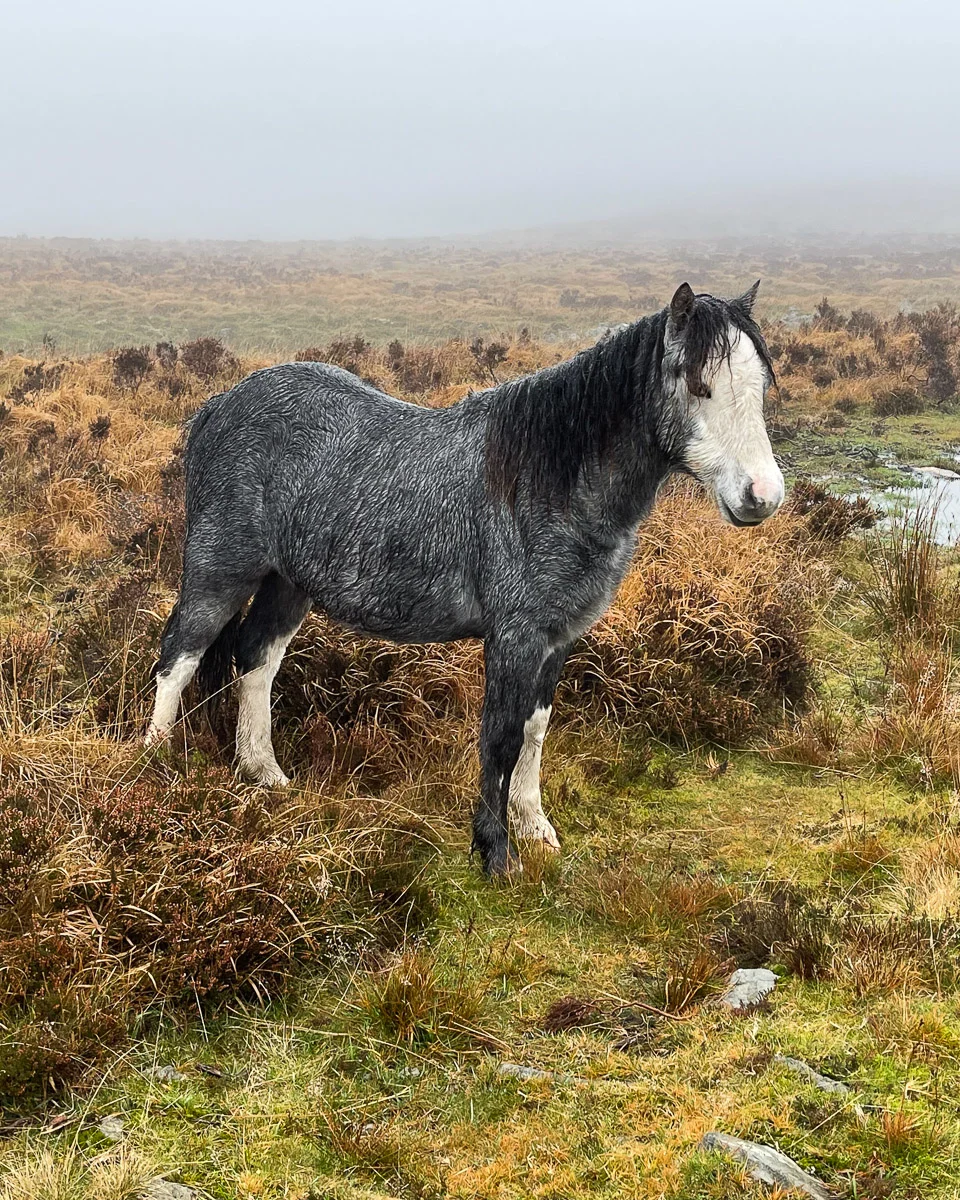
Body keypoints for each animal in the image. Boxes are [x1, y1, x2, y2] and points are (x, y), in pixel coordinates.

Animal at [148, 285, 777, 878]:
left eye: (762, 387)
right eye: (699, 385)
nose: (763, 496)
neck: (545, 480)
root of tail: (219, 404)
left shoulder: (557, 639)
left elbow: (535, 730)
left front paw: (535, 829)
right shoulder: (514, 637)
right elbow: (500, 739)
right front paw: (495, 852)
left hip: (287, 583)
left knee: (257, 660)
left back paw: (264, 773)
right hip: (219, 571)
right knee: (179, 656)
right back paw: (154, 768)